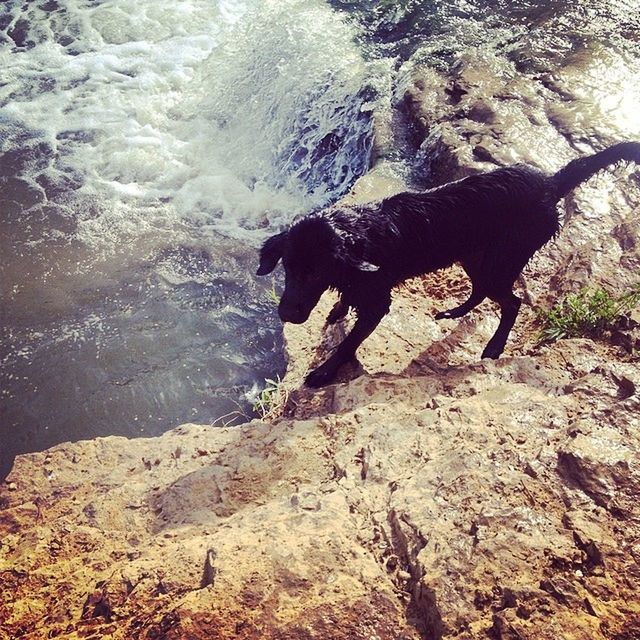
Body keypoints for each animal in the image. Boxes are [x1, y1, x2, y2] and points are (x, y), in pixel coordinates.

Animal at [256, 142, 640, 388]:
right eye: (287, 267)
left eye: (316, 271)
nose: (286, 314)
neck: (359, 235)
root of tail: (549, 183)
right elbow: (345, 301)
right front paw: (337, 310)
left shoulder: (378, 302)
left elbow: (348, 343)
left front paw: (324, 372)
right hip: (473, 255)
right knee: (482, 292)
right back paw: (454, 313)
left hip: (501, 260)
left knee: (511, 302)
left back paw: (494, 347)